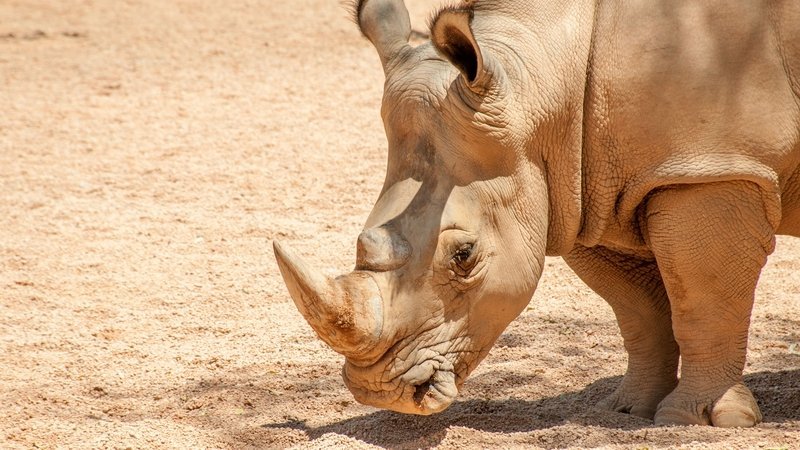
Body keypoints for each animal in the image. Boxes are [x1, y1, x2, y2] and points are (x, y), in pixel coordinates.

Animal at [273, 0, 800, 427]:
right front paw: (627, 410)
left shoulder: (711, 169)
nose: (380, 392)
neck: (544, 81)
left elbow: (705, 301)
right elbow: (639, 309)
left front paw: (699, 421)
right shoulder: (590, 190)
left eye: (464, 256)